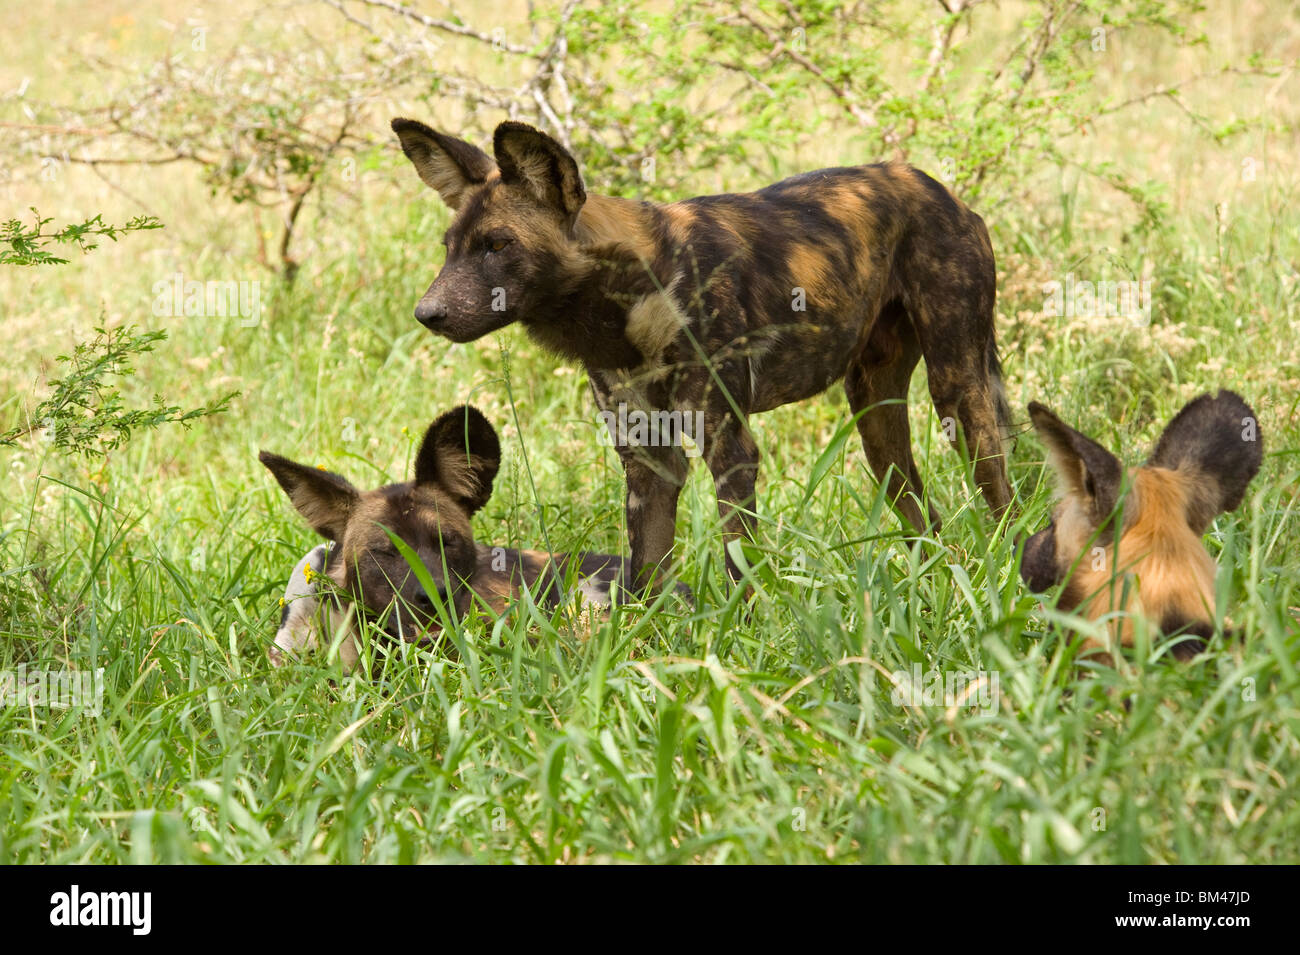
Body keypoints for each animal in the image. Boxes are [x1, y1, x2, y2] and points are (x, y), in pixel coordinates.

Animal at [384, 118, 1013, 589]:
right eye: (450, 249)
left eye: (498, 245)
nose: (426, 313)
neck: (631, 301)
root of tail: (939, 189)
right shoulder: (649, 463)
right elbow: (645, 581)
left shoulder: (729, 447)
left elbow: (741, 567)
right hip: (876, 422)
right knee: (923, 517)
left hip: (958, 396)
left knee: (1002, 497)